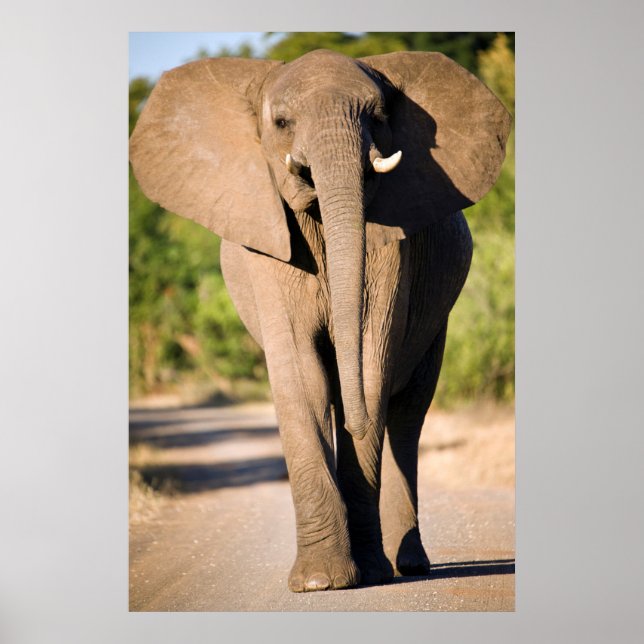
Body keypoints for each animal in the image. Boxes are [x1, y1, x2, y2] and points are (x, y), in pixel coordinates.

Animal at [129, 49, 511, 592]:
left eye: (379, 116)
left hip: (439, 321)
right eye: (281, 123)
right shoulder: (269, 248)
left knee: (407, 416)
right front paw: (320, 582)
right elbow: (300, 374)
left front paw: (366, 573)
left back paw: (408, 564)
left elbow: (372, 364)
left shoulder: (393, 245)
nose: (357, 421)